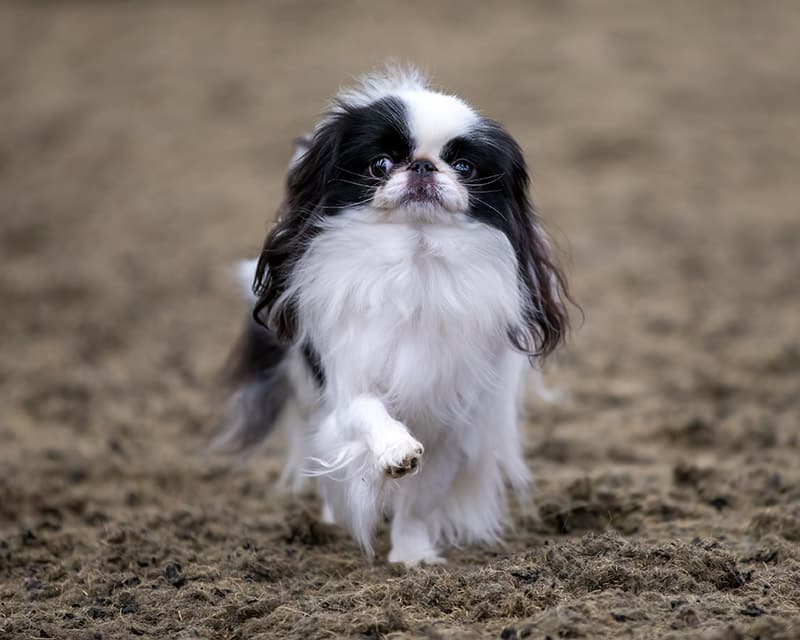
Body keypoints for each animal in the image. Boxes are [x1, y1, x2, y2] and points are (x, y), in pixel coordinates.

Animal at [219, 66, 568, 564]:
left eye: (465, 167)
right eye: (380, 165)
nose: (422, 165)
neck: (415, 258)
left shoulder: (450, 423)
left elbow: (420, 501)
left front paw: (412, 556)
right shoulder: (346, 384)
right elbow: (367, 410)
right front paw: (395, 449)